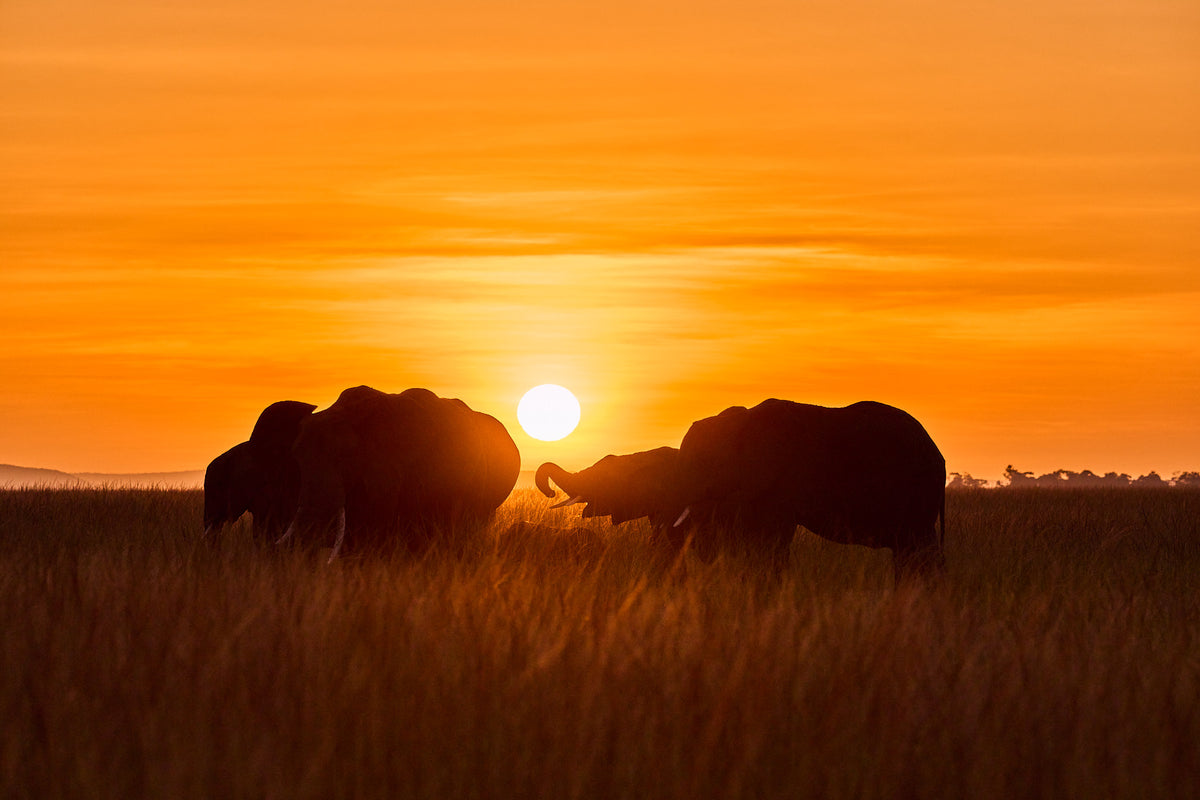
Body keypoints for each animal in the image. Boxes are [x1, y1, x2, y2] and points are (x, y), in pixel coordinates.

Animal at [670, 399, 946, 581]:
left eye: (700, 460)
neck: (735, 421)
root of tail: (937, 455)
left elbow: (773, 540)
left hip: (917, 491)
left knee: (916, 551)